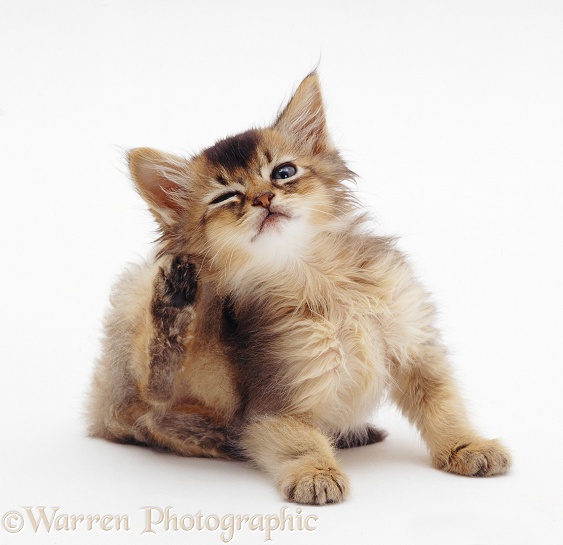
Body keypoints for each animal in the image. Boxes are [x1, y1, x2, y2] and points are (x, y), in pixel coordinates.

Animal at [87, 70, 512, 504]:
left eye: (283, 172)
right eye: (227, 197)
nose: (263, 198)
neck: (319, 276)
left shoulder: (417, 351)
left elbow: (444, 407)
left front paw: (467, 447)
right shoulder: (274, 402)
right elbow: (299, 441)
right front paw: (315, 474)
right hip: (146, 305)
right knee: (150, 403)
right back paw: (177, 306)